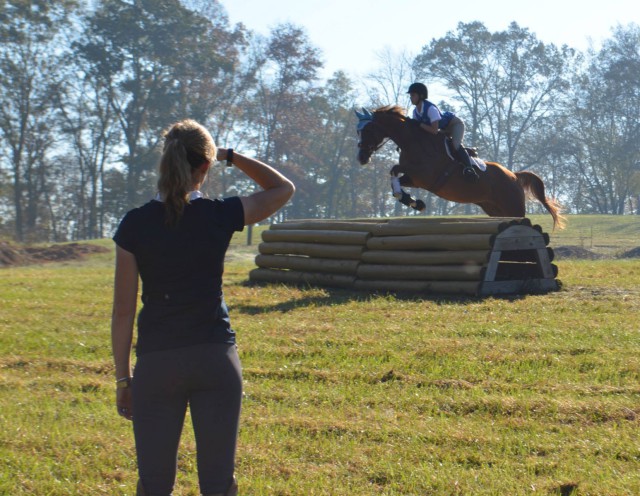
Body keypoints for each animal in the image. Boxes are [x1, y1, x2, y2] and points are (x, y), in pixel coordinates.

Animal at [356, 105, 564, 230]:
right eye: (359, 131)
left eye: (368, 129)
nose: (361, 158)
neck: (413, 141)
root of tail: (513, 175)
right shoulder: (413, 178)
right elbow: (395, 176)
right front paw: (413, 201)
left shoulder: (424, 176)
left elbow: (395, 170)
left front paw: (411, 200)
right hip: (494, 209)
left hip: (512, 206)